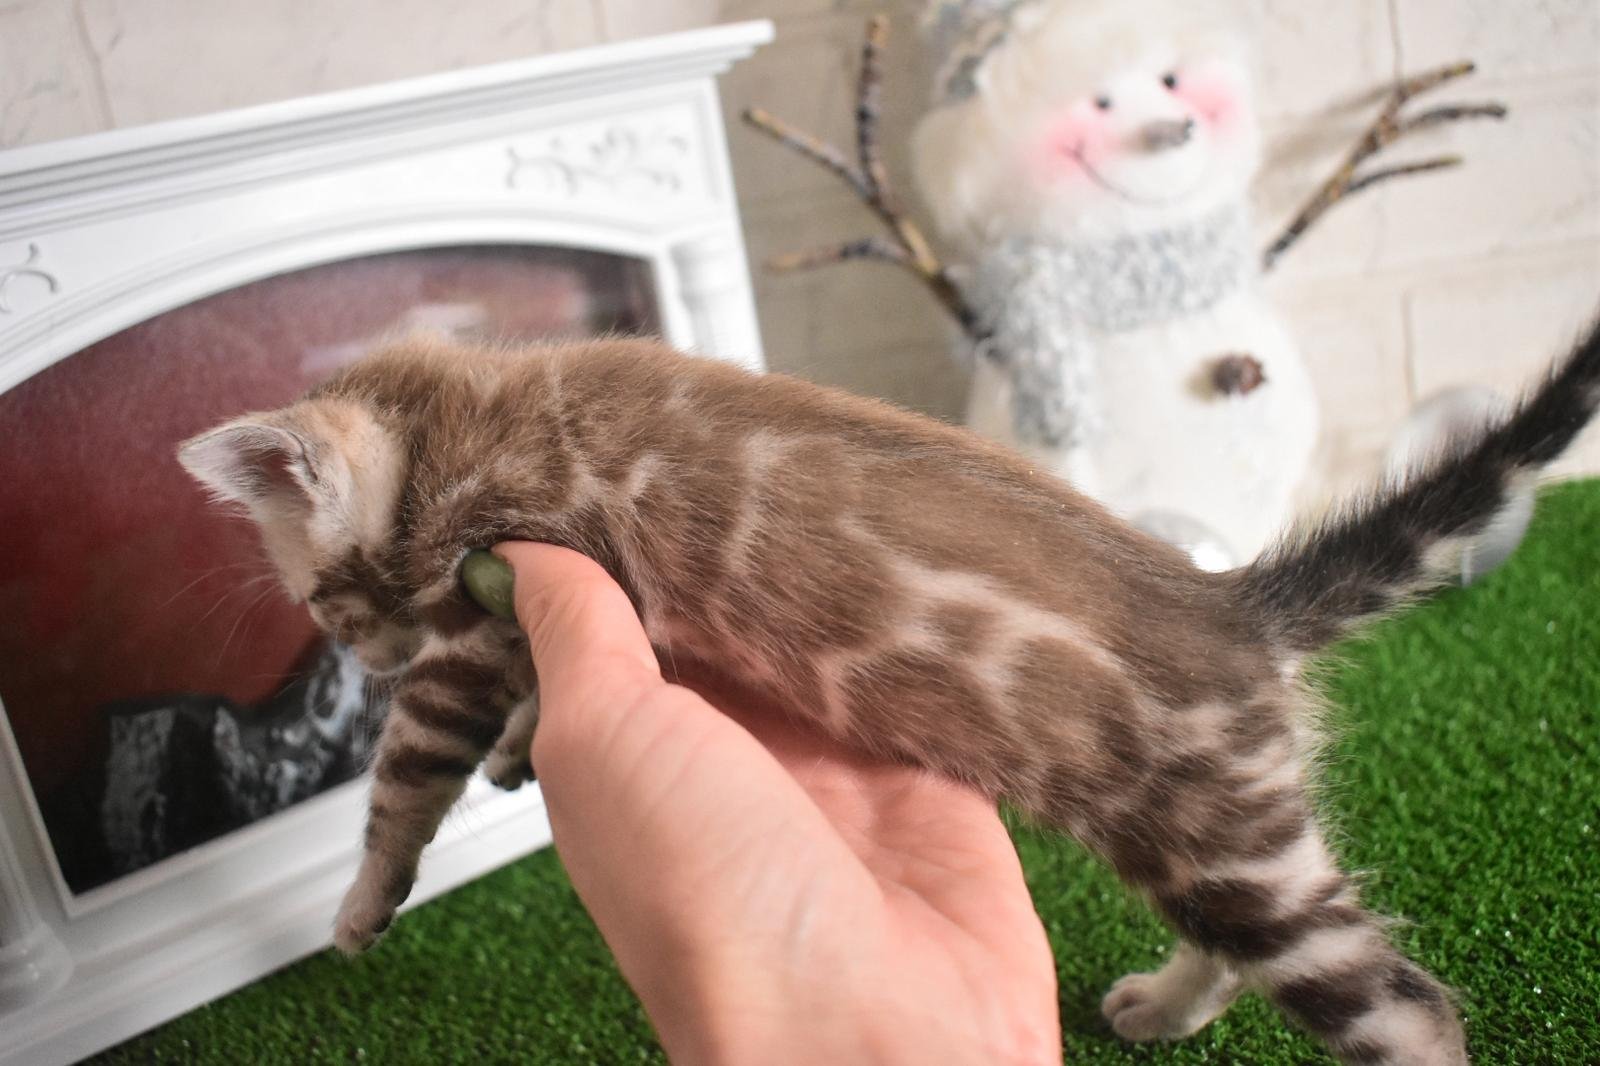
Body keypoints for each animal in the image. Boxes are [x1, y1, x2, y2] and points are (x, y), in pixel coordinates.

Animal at [178, 320, 1600, 1065]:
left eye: (321, 607)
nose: (361, 658)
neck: (470, 401)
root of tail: (1235, 605)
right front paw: (519, 752)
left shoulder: (484, 603)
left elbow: (401, 781)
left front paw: (359, 905)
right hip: (1205, 838)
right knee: (1235, 941)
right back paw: (1165, 1002)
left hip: (1229, 845)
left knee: (1405, 1008)